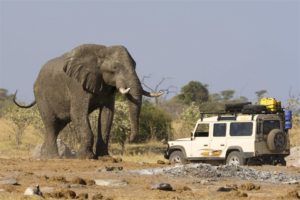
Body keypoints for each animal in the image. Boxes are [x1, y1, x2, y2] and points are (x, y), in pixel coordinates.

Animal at [14, 44, 163, 159]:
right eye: (115, 68)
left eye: (135, 65)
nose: (129, 139)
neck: (101, 52)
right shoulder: (77, 84)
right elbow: (78, 113)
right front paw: (86, 157)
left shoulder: (107, 87)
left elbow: (107, 115)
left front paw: (104, 157)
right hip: (42, 96)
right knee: (51, 124)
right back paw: (52, 157)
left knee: (57, 126)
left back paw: (44, 156)